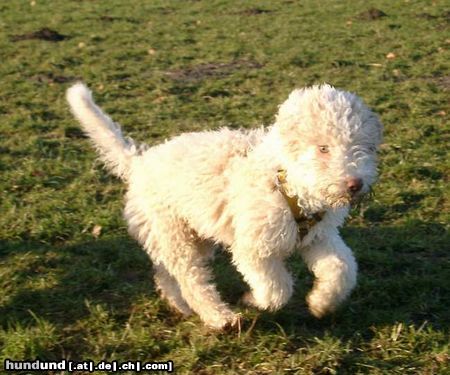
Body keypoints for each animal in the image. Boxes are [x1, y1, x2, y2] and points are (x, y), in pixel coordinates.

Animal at [67, 83, 384, 330]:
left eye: (364, 147)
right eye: (323, 148)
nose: (355, 184)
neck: (285, 181)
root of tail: (140, 162)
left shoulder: (320, 237)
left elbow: (342, 269)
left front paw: (321, 303)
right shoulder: (254, 249)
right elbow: (277, 289)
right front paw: (252, 301)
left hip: (192, 235)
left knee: (165, 274)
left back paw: (180, 306)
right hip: (175, 235)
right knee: (192, 280)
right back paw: (220, 317)